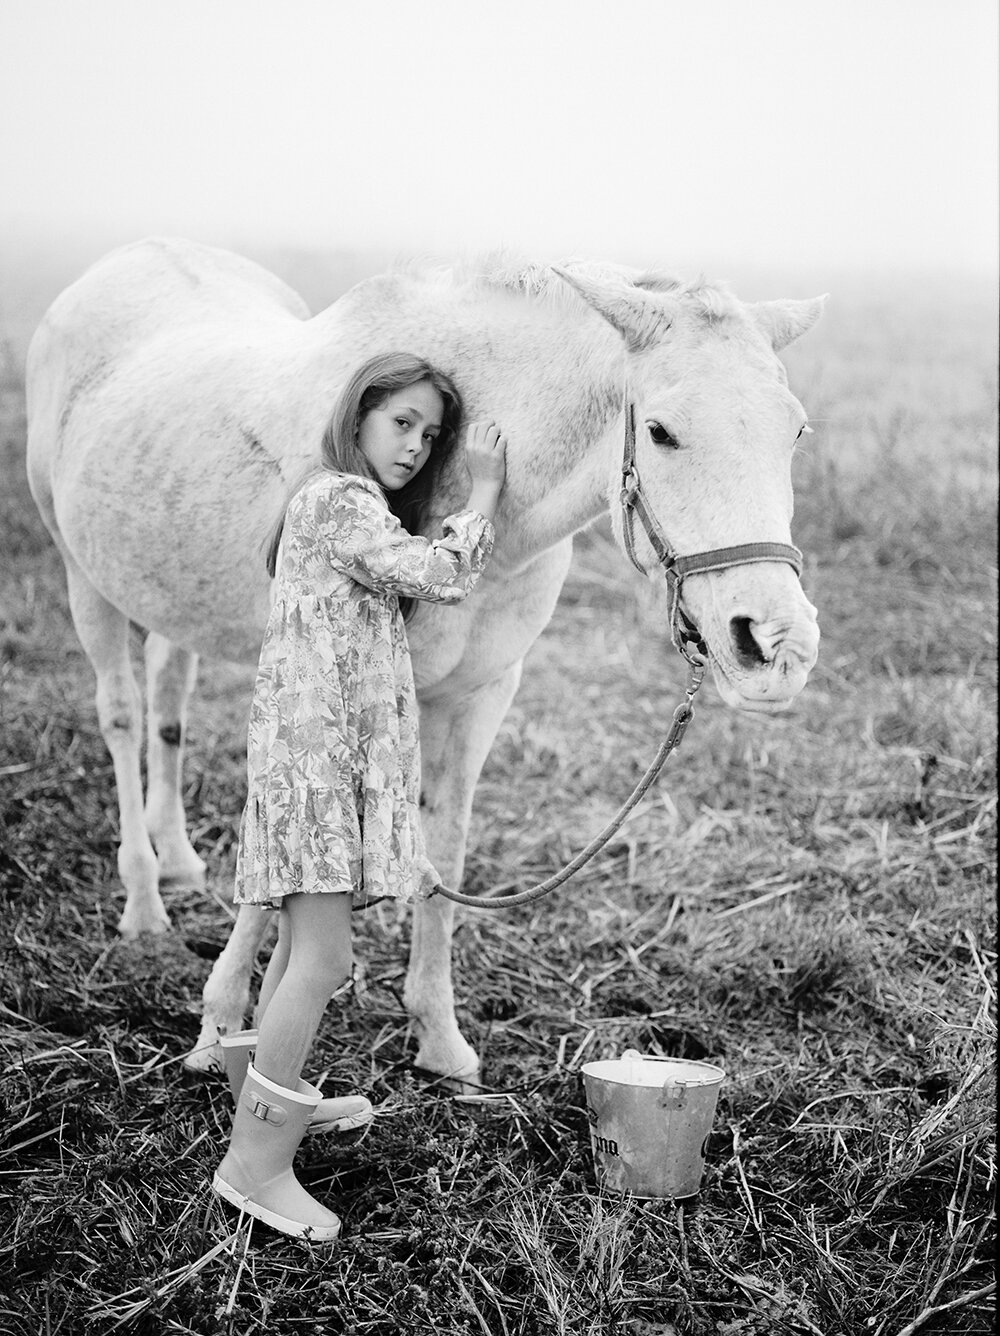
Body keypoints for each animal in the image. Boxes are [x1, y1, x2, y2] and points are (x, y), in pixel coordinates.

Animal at [23, 235, 822, 1079]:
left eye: (795, 433)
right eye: (663, 431)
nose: (774, 646)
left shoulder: (480, 696)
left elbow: (446, 850)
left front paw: (439, 1037)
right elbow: (275, 850)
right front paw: (219, 1025)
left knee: (169, 709)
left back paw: (176, 859)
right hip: (86, 583)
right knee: (123, 722)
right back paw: (144, 902)